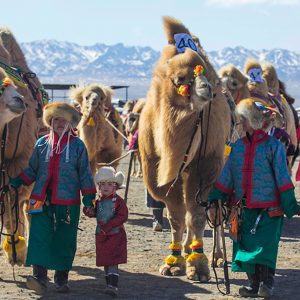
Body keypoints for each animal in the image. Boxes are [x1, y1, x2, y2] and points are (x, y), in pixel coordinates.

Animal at [138, 17, 230, 282]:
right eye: (181, 78)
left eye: (206, 75)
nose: (207, 88)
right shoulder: (156, 168)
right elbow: (177, 217)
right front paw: (174, 262)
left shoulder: (206, 165)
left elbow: (197, 216)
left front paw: (198, 267)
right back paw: (190, 249)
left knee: (213, 213)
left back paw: (217, 258)